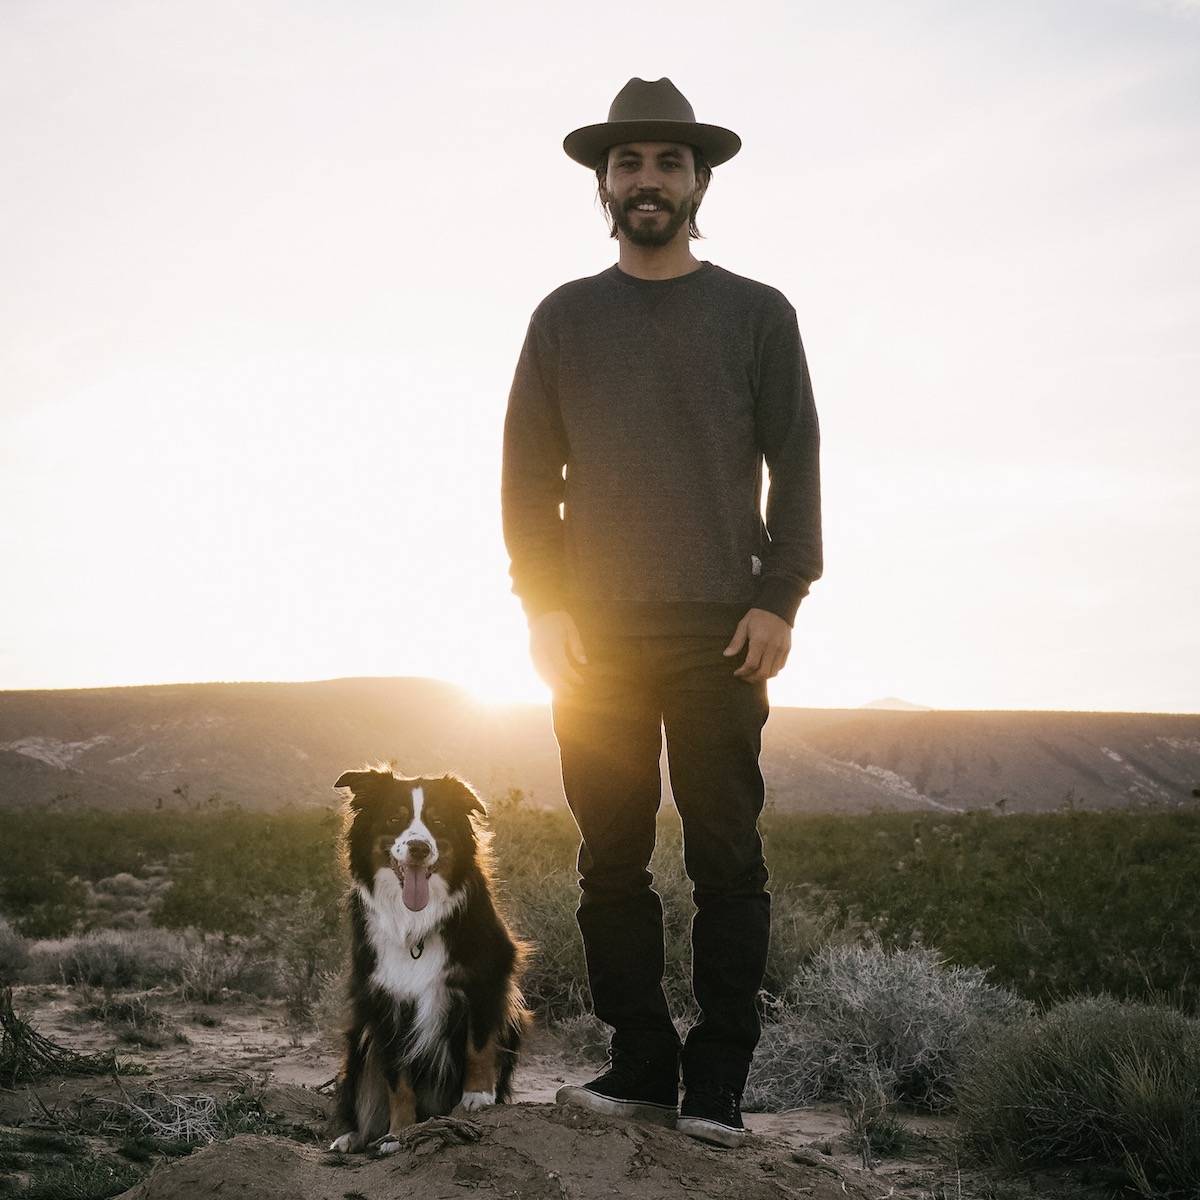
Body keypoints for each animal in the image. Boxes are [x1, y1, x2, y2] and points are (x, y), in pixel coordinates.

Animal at [326, 768, 528, 1152]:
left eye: (437, 822)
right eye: (394, 819)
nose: (419, 848)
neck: (416, 922)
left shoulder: (487, 974)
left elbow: (478, 1043)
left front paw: (477, 1095)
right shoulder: (384, 998)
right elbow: (397, 1080)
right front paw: (398, 1133)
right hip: (360, 1037)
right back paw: (351, 1136)